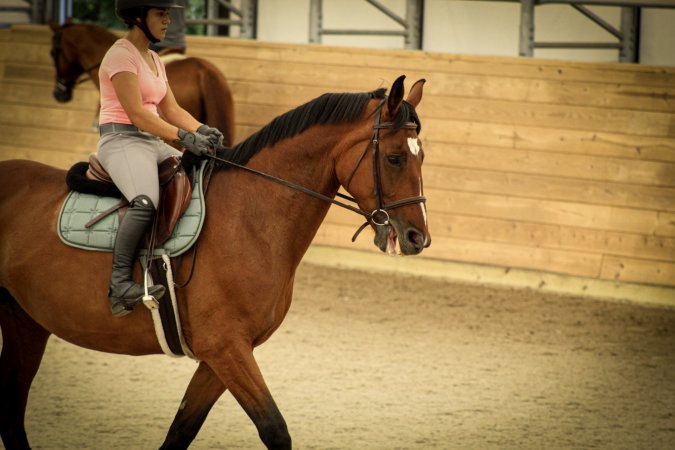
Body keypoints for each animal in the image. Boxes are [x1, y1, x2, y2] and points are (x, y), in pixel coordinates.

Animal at [0, 75, 430, 448]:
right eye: (394, 158)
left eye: (421, 156)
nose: (418, 238)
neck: (249, 217)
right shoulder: (226, 349)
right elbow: (275, 429)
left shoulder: (223, 355)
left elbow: (182, 429)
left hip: (25, 320)